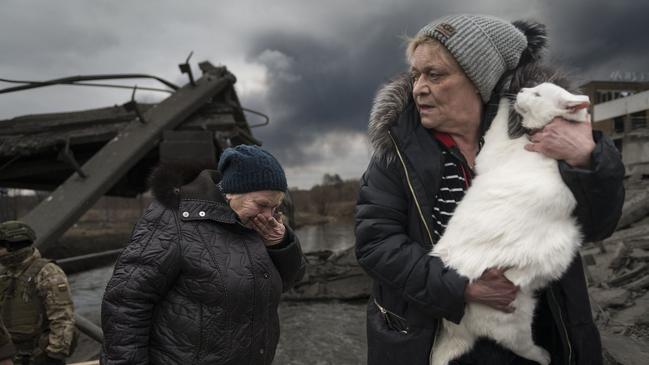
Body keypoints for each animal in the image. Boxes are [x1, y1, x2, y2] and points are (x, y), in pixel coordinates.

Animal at [428, 82, 588, 364]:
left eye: (537, 93)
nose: (522, 88)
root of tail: (457, 328)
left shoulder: (492, 153)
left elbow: (497, 126)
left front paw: (502, 95)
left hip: (515, 320)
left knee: (523, 347)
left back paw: (545, 356)